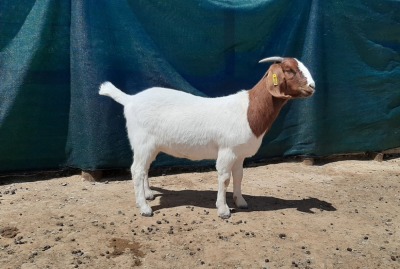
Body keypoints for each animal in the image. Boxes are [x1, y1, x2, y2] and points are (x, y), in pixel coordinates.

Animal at [98, 57, 314, 218]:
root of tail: (130, 99)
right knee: (136, 170)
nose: (312, 87)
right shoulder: (227, 150)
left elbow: (239, 176)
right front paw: (223, 209)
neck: (248, 110)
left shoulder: (240, 154)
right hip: (142, 142)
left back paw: (149, 194)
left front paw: (241, 201)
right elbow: (224, 178)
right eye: (290, 70)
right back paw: (144, 207)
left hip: (151, 146)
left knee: (144, 169)